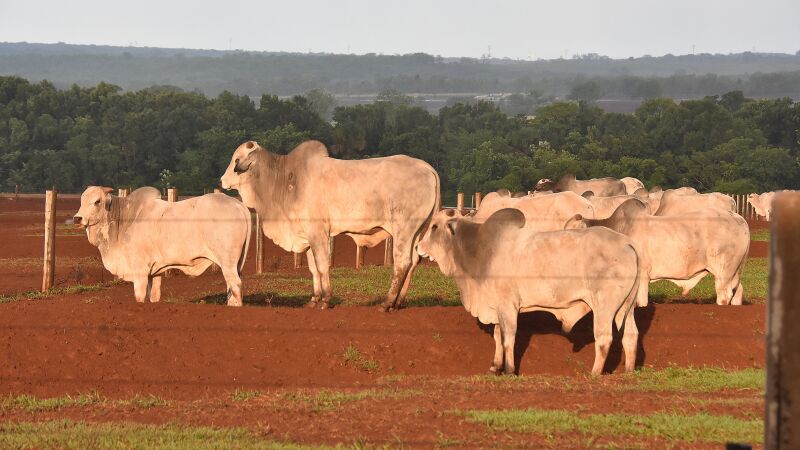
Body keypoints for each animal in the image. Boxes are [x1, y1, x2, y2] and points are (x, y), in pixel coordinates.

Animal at [74, 185, 252, 306]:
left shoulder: (140, 271)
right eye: (81, 200)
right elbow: (154, 295)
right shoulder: (155, 271)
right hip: (235, 264)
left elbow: (140, 297)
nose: (77, 218)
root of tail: (239, 205)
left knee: (235, 285)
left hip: (228, 262)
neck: (124, 219)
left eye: (97, 201)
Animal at [222, 140, 440, 310]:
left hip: (404, 230)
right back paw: (397, 302)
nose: (223, 180)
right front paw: (314, 299)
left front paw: (326, 300)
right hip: (417, 232)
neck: (285, 180)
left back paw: (386, 303)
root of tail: (427, 167)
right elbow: (313, 268)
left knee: (402, 262)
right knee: (413, 261)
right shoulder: (308, 235)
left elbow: (322, 265)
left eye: (236, 159)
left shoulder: (318, 233)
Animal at [416, 208, 640, 376]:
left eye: (434, 226)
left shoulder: (508, 306)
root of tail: (626, 242)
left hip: (605, 307)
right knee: (630, 335)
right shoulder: (497, 307)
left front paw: (509, 370)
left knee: (604, 338)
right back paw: (628, 371)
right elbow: (497, 336)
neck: (479, 249)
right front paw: (495, 366)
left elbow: (508, 338)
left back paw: (594, 373)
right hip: (626, 308)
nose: (418, 247)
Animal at [564, 200, 748, 306]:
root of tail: (739, 219)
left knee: (724, 295)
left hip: (724, 271)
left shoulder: (642, 275)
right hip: (734, 272)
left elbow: (642, 303)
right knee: (737, 291)